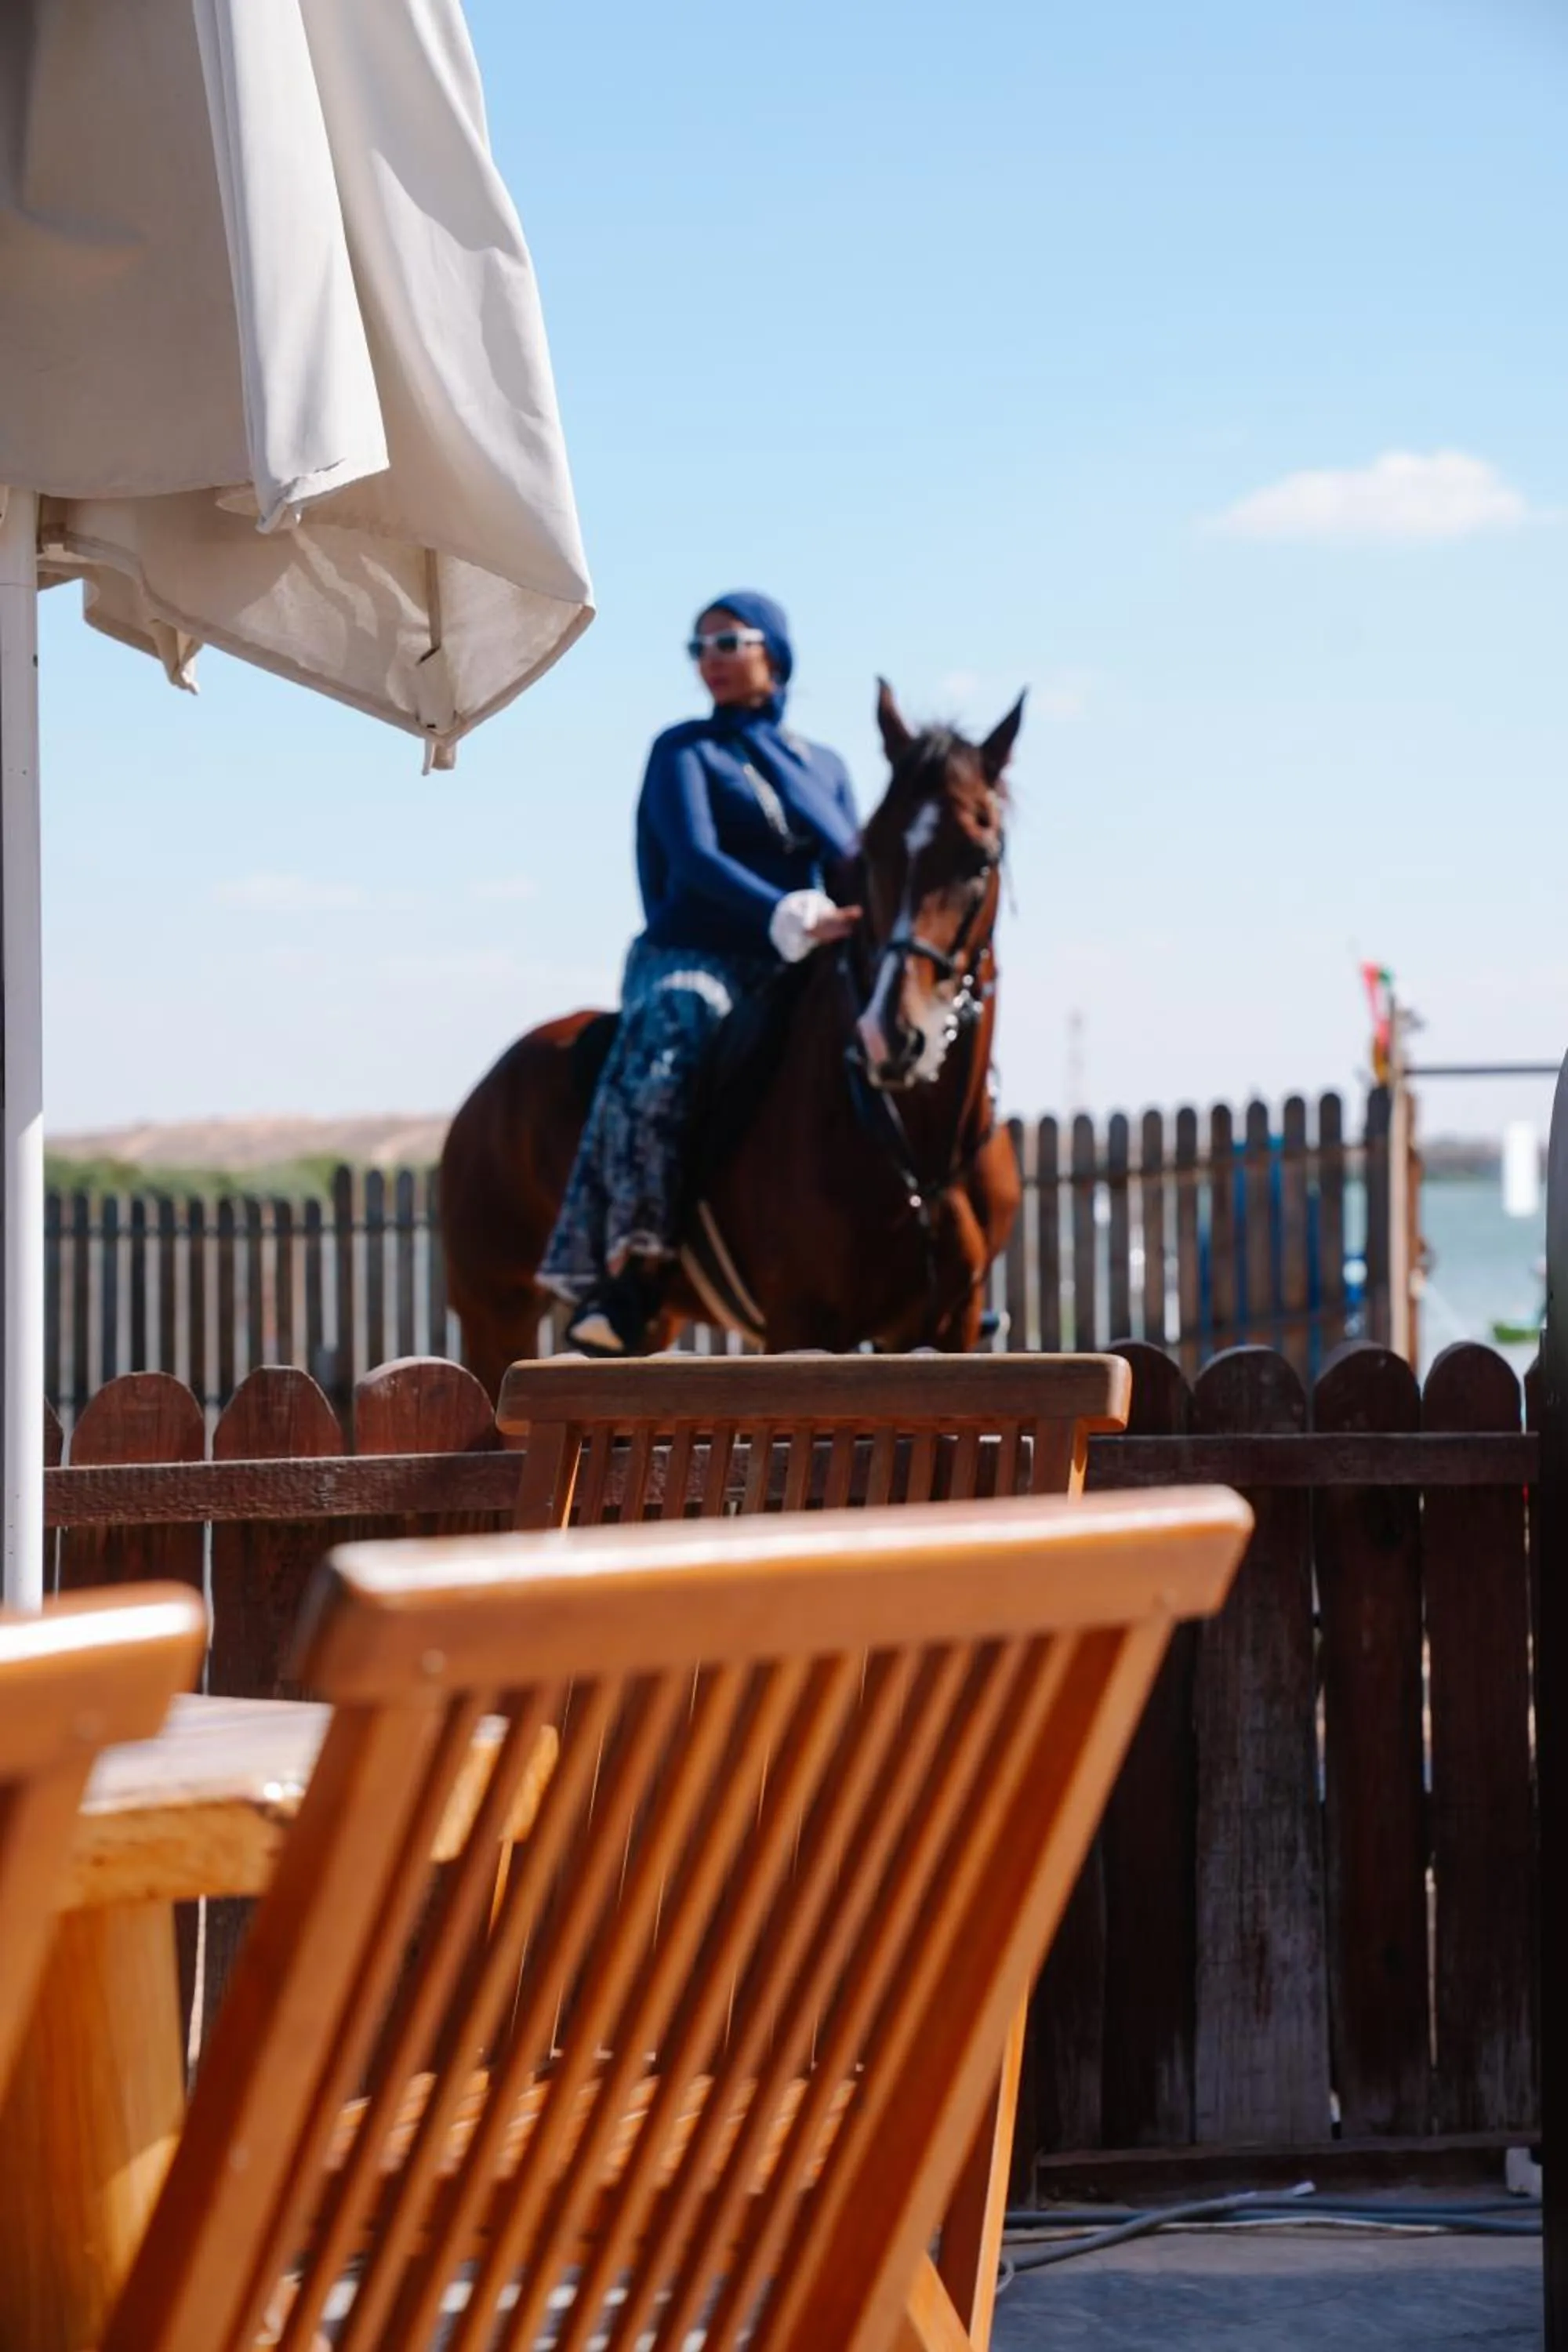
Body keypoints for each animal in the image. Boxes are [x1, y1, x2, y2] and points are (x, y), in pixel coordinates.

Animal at [439, 682, 1024, 1395]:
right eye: (873, 854)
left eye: (981, 857)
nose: (892, 1035)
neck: (919, 1147)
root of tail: (484, 1095)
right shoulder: (802, 1319)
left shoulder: (948, 1323)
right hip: (495, 1314)